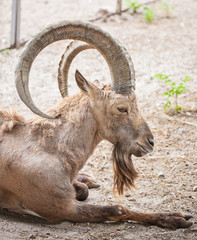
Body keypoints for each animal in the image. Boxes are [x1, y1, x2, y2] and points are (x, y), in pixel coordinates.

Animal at [0, 21, 192, 229]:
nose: (149, 142)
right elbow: (118, 209)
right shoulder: (61, 207)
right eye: (122, 108)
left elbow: (85, 191)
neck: (51, 149)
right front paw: (176, 217)